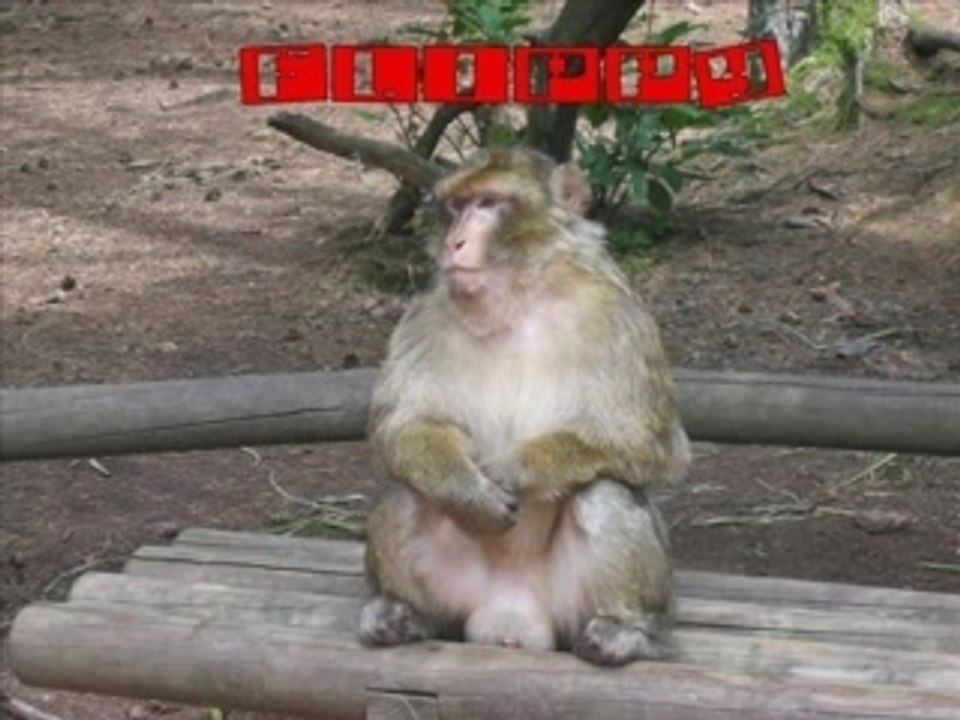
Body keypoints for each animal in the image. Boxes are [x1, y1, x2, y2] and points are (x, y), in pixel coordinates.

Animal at [358, 146, 690, 666]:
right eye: (457, 206)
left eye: (490, 203)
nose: (454, 241)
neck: (521, 301)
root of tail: (509, 617)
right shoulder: (426, 315)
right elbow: (403, 425)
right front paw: (468, 492)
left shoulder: (620, 318)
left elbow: (652, 443)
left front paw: (514, 470)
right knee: (407, 490)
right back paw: (403, 613)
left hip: (575, 603)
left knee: (604, 491)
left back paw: (625, 629)